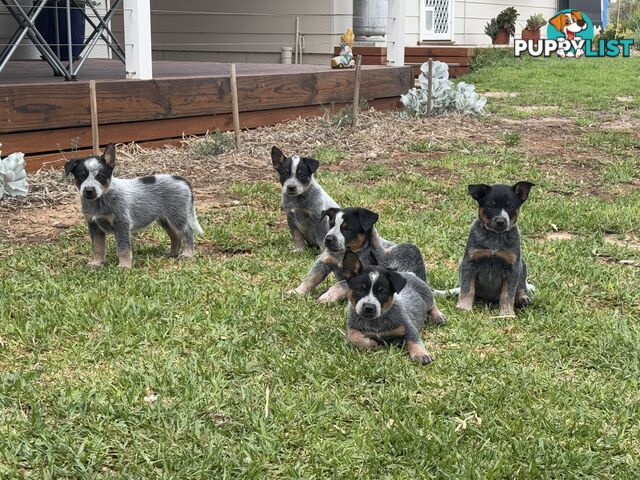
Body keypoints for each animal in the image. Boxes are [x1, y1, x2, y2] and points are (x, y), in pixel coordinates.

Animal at [63, 142, 201, 270]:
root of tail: (182, 180)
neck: (101, 200)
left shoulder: (121, 223)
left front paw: (124, 266)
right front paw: (97, 263)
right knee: (175, 235)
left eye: (100, 177)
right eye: (81, 176)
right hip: (165, 220)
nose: (89, 190)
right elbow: (97, 247)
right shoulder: (94, 226)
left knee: (188, 232)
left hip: (177, 217)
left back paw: (187, 254)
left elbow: (123, 247)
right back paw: (172, 253)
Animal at [290, 207, 430, 304]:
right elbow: (310, 278)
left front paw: (327, 297)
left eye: (347, 228)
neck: (344, 254)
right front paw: (297, 291)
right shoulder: (324, 261)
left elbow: (339, 284)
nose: (328, 239)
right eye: (331, 224)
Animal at [456, 182, 536, 316]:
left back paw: (523, 298)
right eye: (490, 206)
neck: (495, 239)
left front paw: (507, 313)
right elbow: (467, 288)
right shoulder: (470, 262)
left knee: (521, 286)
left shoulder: (512, 267)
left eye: (510, 206)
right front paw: (463, 307)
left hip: (522, 265)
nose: (500, 221)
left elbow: (508, 294)